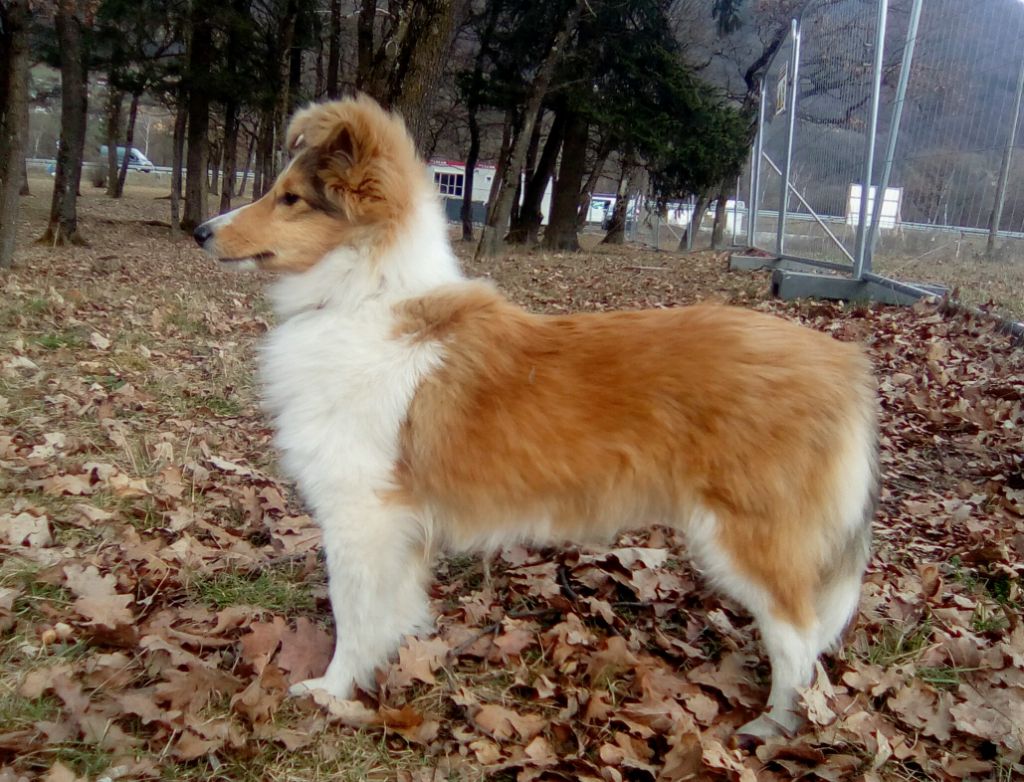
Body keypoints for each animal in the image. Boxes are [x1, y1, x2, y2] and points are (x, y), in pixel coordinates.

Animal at [193, 94, 880, 741]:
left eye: (291, 198)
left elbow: (353, 613)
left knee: (799, 639)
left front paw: (332, 691)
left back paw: (775, 728)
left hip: (748, 537)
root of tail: (843, 365)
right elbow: (389, 612)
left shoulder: (362, 514)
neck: (365, 298)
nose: (200, 231)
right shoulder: (399, 527)